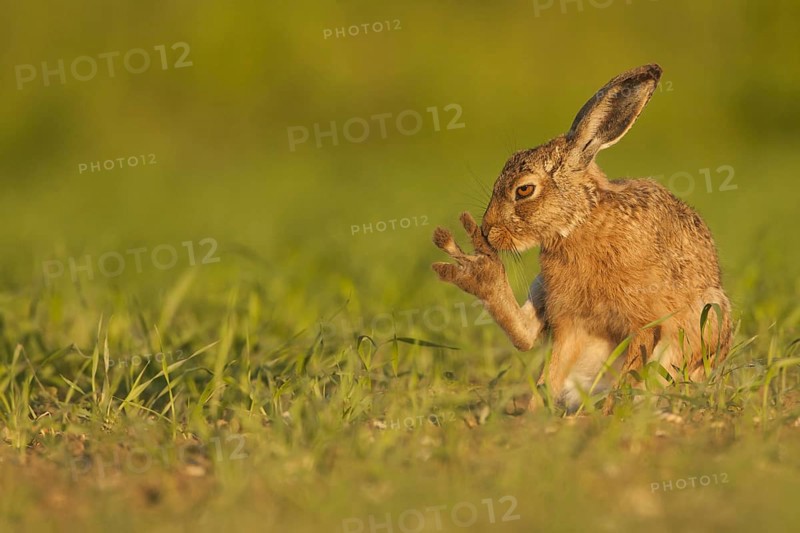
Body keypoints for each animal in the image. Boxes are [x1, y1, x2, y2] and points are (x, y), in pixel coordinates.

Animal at [431, 64, 732, 413]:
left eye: (524, 190)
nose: (490, 231)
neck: (580, 222)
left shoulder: (644, 321)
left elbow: (635, 363)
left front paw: (611, 413)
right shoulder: (569, 321)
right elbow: (550, 368)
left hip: (706, 317)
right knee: (527, 338)